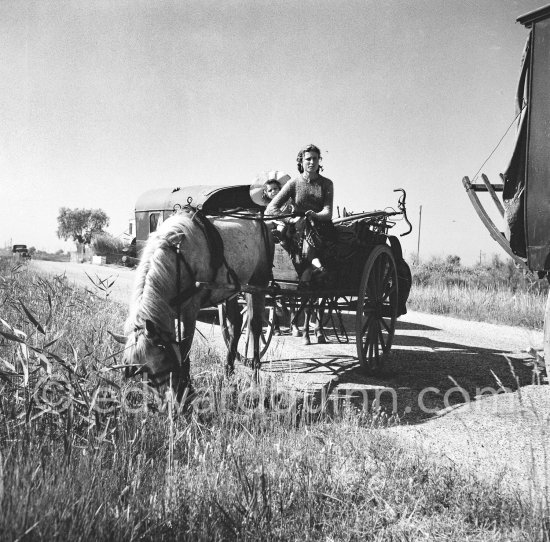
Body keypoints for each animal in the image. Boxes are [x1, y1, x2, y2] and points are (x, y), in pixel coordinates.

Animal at [123, 210, 274, 402]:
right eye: (143, 373)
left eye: (162, 360)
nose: (167, 399)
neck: (178, 257)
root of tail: (263, 223)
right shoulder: (169, 313)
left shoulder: (189, 313)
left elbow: (185, 350)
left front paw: (187, 390)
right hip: (231, 290)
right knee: (236, 323)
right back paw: (228, 373)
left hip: (257, 285)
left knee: (255, 326)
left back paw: (255, 379)